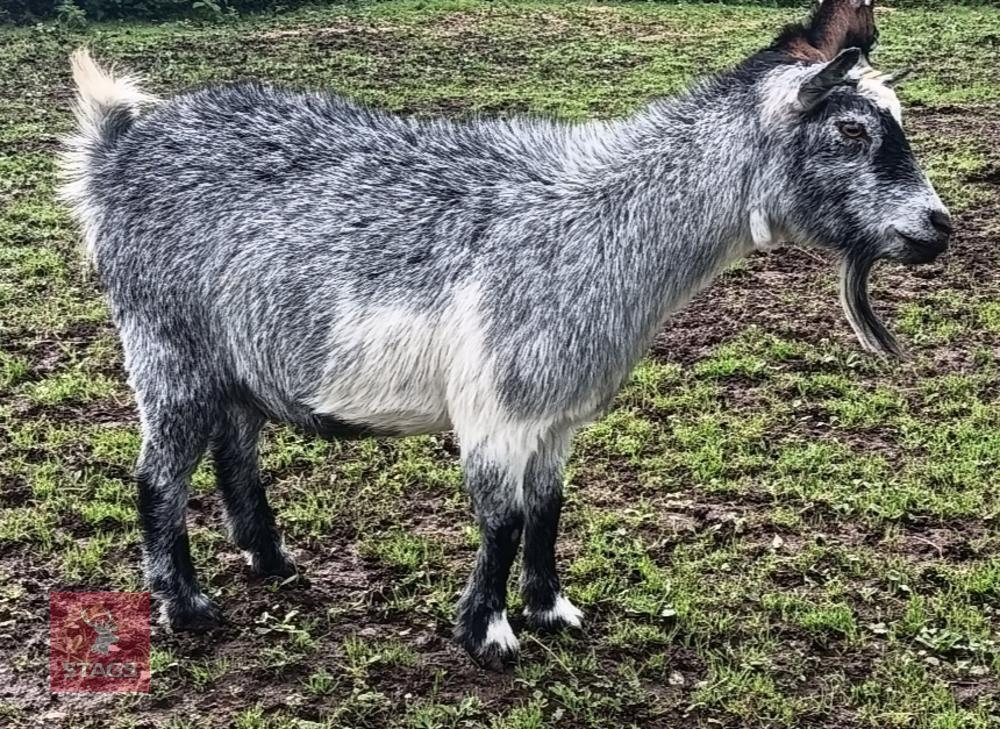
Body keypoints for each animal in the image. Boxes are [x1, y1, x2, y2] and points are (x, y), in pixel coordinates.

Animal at [61, 2, 950, 668]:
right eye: (851, 130)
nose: (937, 227)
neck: (601, 223)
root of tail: (117, 150)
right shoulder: (498, 402)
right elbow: (502, 517)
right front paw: (487, 631)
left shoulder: (557, 411)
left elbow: (548, 506)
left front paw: (551, 606)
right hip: (166, 344)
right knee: (158, 476)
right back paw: (186, 605)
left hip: (237, 355)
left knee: (234, 448)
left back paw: (273, 561)